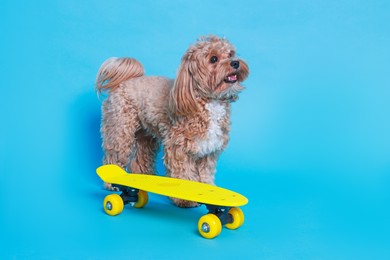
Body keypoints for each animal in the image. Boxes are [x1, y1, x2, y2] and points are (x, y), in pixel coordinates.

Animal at [96, 36, 250, 207]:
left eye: (230, 54)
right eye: (213, 59)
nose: (235, 63)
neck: (205, 100)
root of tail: (125, 81)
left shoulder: (208, 150)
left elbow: (205, 174)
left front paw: (210, 194)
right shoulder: (179, 148)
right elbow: (184, 174)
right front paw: (186, 199)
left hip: (146, 135)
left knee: (141, 156)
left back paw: (144, 178)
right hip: (120, 131)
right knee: (115, 156)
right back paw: (113, 183)